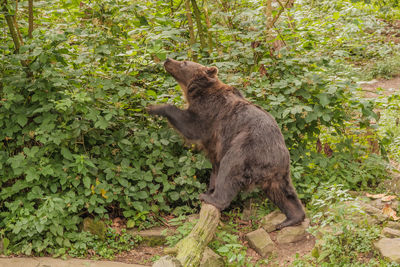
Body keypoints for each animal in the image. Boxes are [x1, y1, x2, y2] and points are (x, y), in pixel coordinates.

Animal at [148, 58, 304, 230]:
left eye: (184, 62)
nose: (167, 60)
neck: (197, 92)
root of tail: (278, 155)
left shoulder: (209, 112)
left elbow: (191, 126)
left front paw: (153, 107)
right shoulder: (215, 144)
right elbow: (215, 168)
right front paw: (209, 189)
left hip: (248, 148)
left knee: (230, 167)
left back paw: (212, 199)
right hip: (277, 171)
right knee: (283, 193)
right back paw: (291, 218)